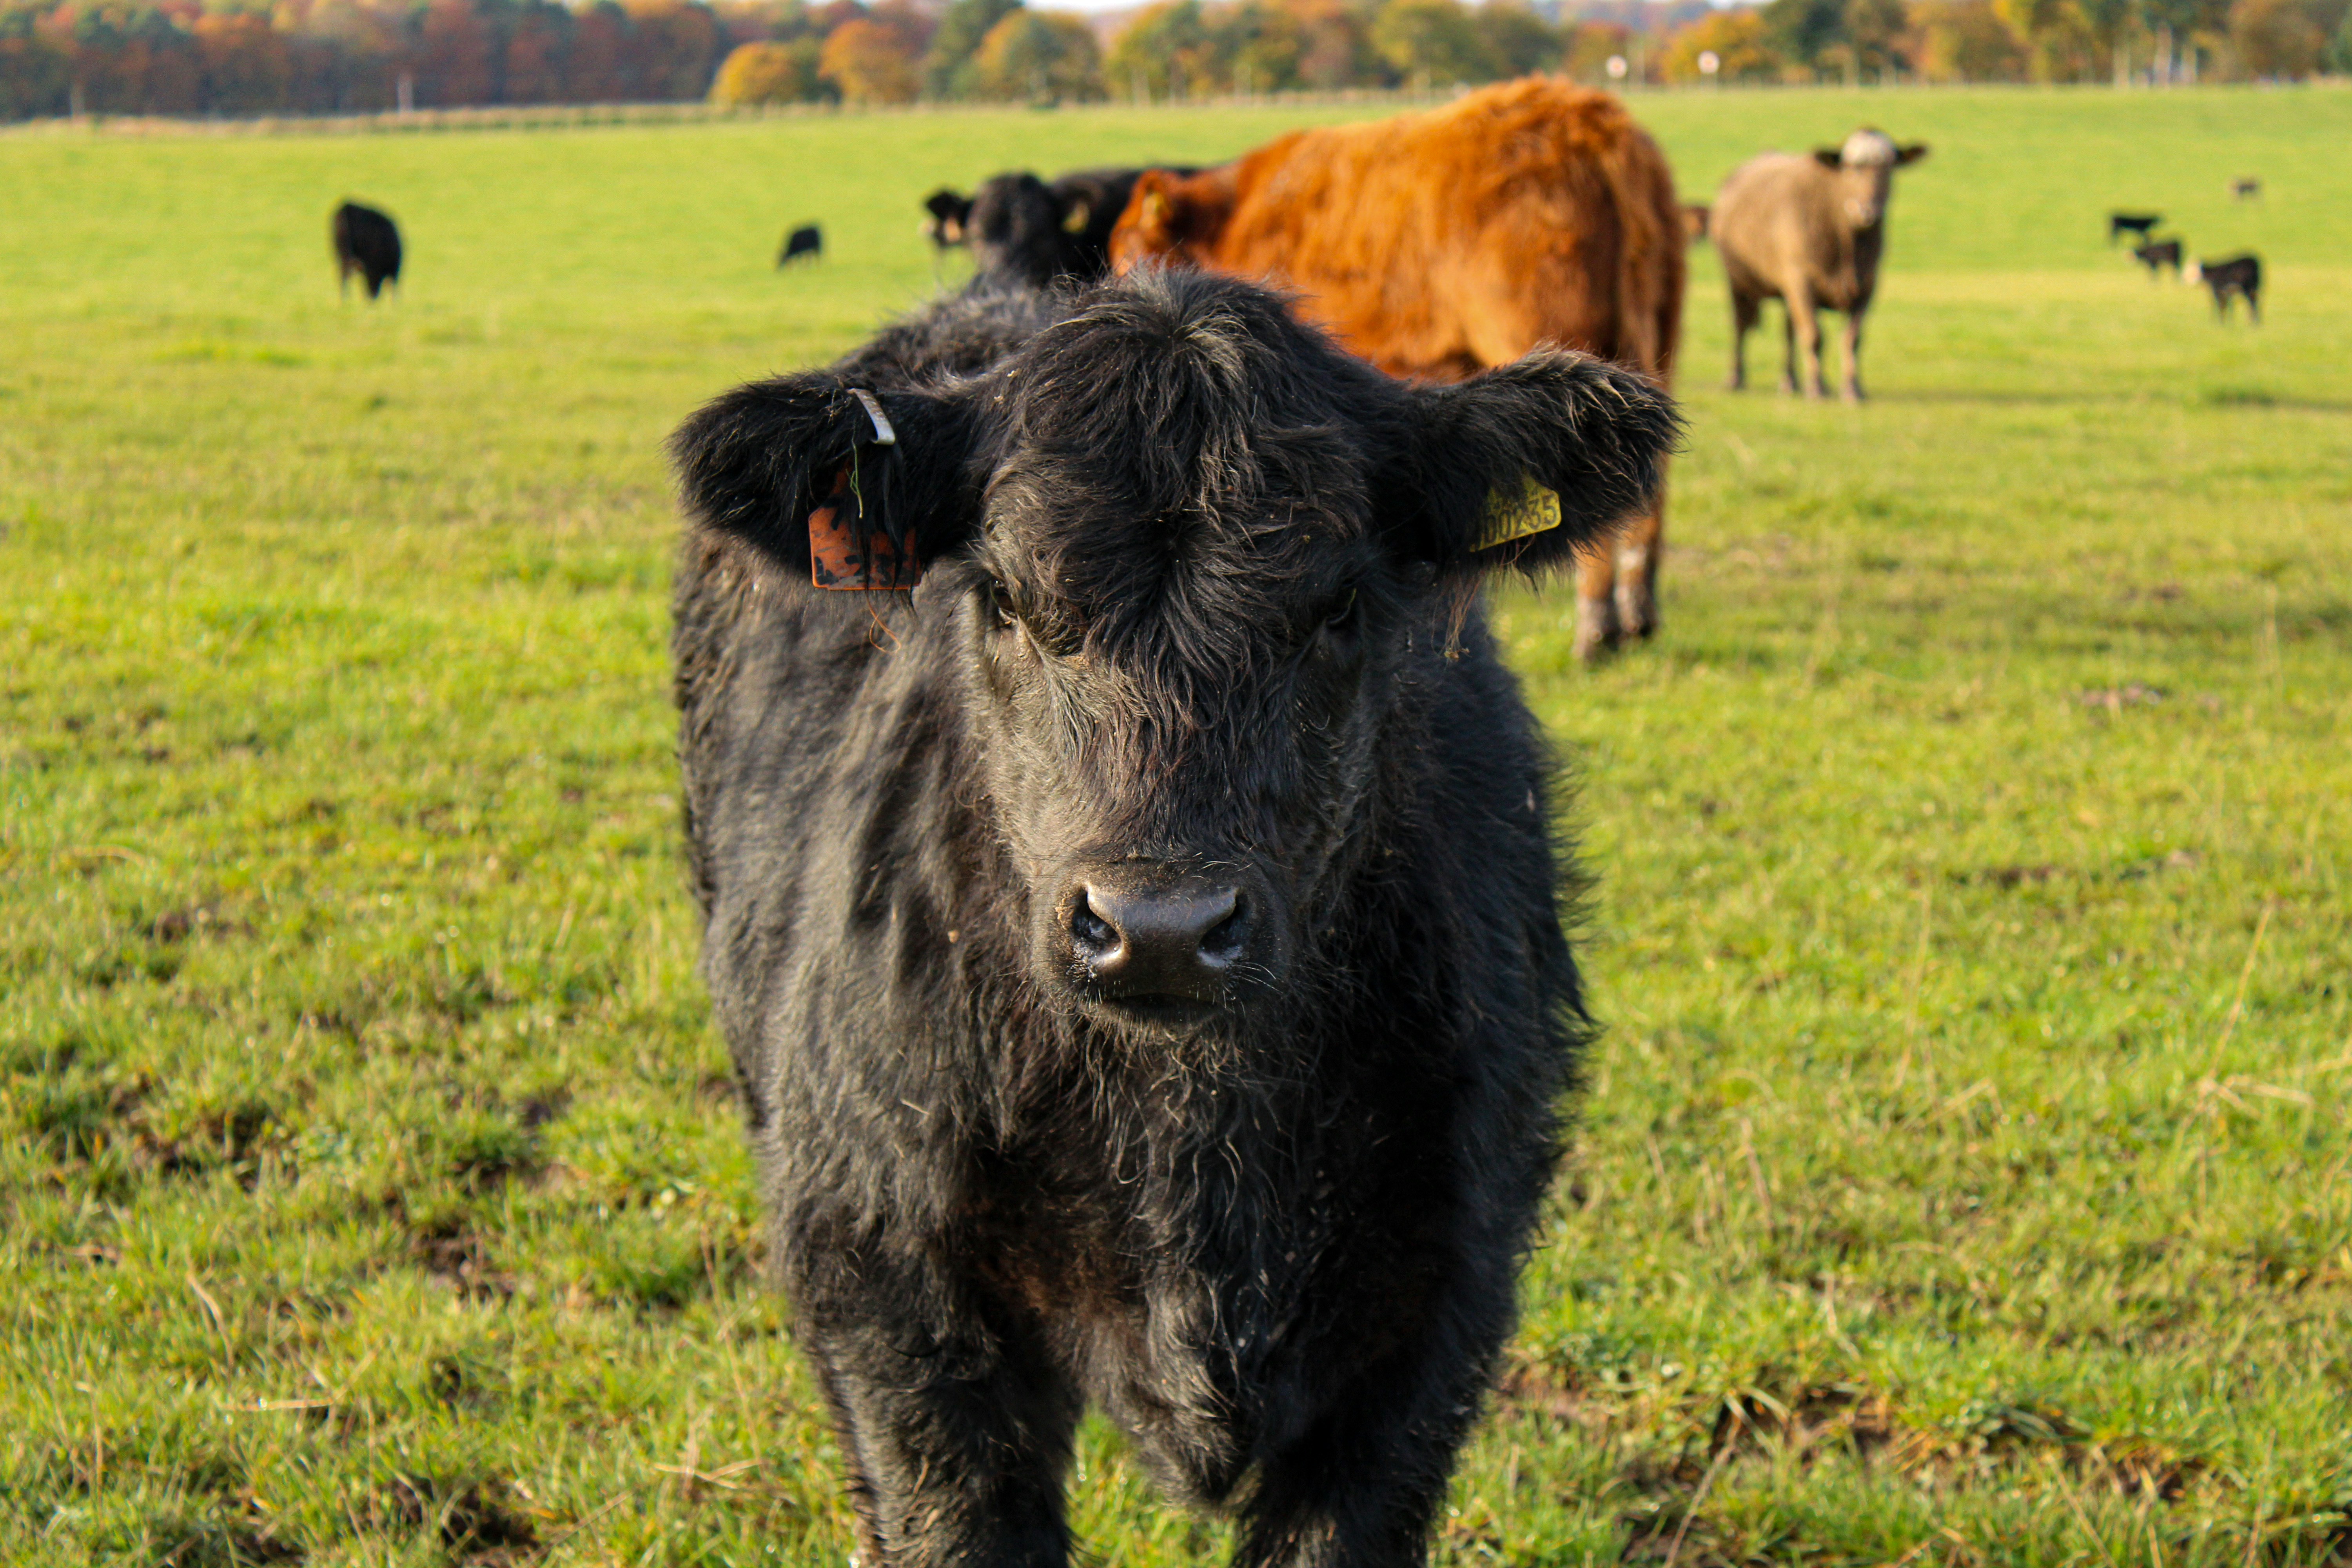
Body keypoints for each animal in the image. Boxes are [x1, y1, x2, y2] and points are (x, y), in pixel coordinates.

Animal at [667, 268, 1680, 1568]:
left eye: (1342, 604)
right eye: (1003, 600)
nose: (1156, 925)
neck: (1185, 1140)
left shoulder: (1434, 1312)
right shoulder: (883, 1284)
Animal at [1106, 78, 1684, 665]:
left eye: (1132, 254)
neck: (1240, 216)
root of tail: (1586, 117)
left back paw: (1596, 628)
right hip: (1656, 351)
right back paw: (1638, 615)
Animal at [1711, 127, 1929, 405]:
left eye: (1889, 167)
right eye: (1851, 167)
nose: (1868, 211)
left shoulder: (1868, 286)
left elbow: (1852, 339)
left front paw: (1852, 389)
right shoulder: (1801, 282)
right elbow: (1815, 336)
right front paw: (1816, 388)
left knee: (1789, 332)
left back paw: (1790, 381)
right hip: (1738, 281)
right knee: (1740, 326)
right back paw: (1736, 378)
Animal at [2188, 253, 2261, 322]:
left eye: (2195, 269)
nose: (2191, 280)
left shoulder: (2218, 292)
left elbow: (2219, 306)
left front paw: (2217, 322)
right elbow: (2225, 307)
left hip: (2247, 288)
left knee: (2252, 303)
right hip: (2253, 288)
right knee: (2255, 302)